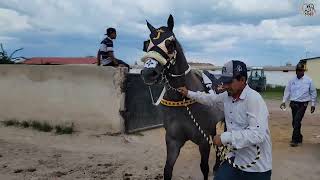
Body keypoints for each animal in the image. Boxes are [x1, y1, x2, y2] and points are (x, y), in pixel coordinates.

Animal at [140, 14, 225, 179]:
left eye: (170, 44)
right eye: (146, 44)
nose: (148, 73)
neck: (182, 101)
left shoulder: (203, 142)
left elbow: (204, 168)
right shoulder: (173, 141)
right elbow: (167, 169)